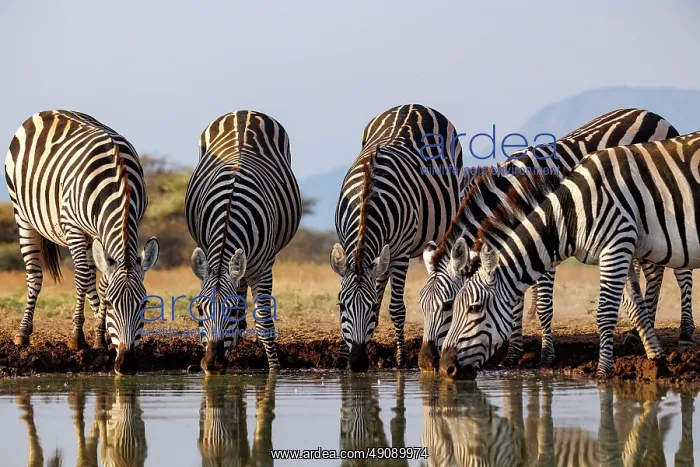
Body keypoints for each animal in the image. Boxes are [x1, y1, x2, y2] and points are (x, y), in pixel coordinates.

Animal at [5, 110, 159, 375]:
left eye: (144, 304)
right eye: (113, 305)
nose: (127, 364)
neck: (119, 183)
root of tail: (45, 112)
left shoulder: (113, 227)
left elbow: (102, 282)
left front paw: (100, 336)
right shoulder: (74, 228)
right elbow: (81, 278)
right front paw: (77, 339)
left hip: (91, 236)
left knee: (91, 278)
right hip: (23, 215)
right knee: (37, 276)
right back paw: (23, 333)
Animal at [185, 110, 301, 374]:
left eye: (231, 310)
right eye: (199, 309)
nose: (212, 364)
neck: (230, 207)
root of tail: (244, 111)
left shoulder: (264, 268)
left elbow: (264, 322)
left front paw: (274, 369)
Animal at [330, 104, 464, 371]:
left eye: (370, 307)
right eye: (341, 306)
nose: (357, 363)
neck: (367, 197)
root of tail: (413, 105)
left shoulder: (401, 251)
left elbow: (395, 308)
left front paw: (401, 359)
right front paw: (341, 357)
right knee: (380, 278)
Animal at [419, 108, 688, 372]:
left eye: (448, 305)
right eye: (422, 305)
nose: (424, 363)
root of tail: (650, 113)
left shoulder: (545, 240)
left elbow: (543, 306)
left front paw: (546, 355)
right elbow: (514, 302)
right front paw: (513, 354)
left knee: (677, 272)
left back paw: (682, 335)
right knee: (654, 271)